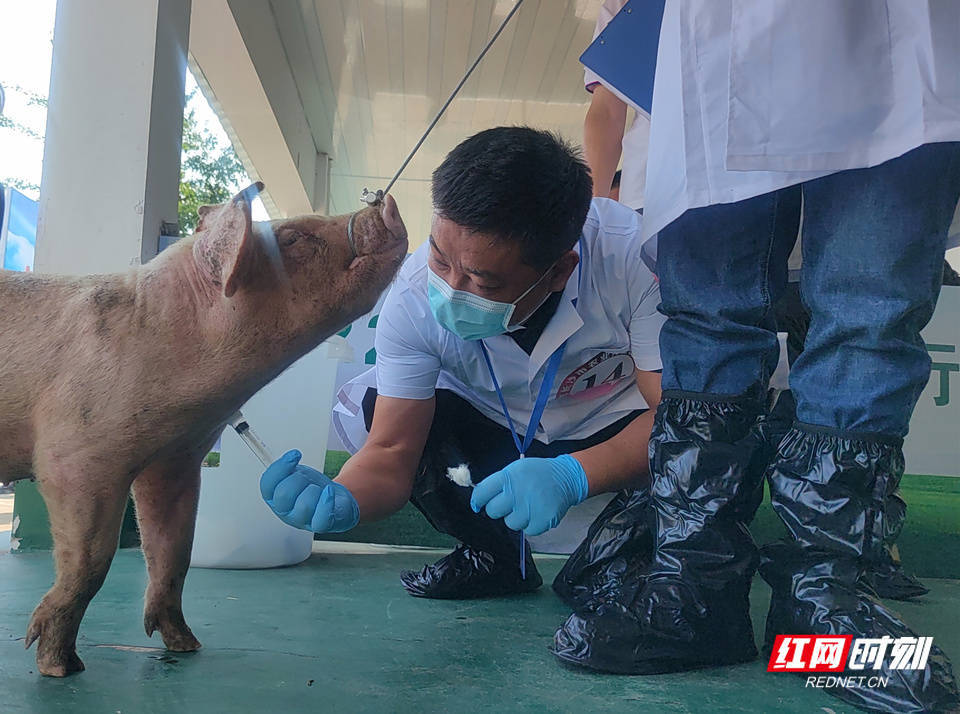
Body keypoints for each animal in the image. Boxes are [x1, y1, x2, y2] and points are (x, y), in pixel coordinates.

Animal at [0, 182, 406, 672]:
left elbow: (176, 551)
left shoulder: (175, 459)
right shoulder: (75, 452)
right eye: (290, 237)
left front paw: (187, 646)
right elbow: (92, 560)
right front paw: (61, 668)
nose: (385, 202)